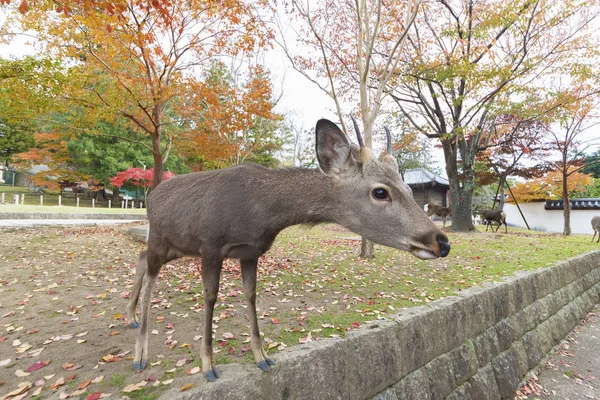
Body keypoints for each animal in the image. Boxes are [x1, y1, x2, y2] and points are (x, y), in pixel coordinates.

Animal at [125, 119, 450, 382]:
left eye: (408, 189)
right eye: (380, 191)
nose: (442, 242)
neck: (261, 212)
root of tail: (150, 196)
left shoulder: (250, 252)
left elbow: (251, 295)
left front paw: (263, 358)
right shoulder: (211, 246)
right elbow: (211, 298)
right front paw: (208, 366)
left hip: (176, 246)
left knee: (140, 259)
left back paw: (130, 318)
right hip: (160, 239)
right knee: (150, 274)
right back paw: (140, 354)